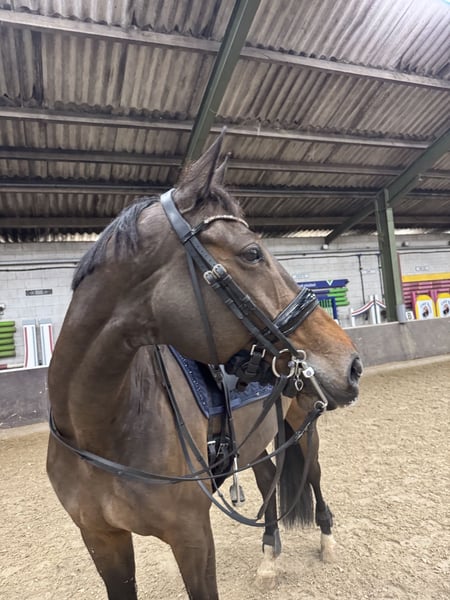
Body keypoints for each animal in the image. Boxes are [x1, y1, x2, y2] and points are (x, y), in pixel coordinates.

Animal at [47, 131, 362, 600]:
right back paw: (269, 556)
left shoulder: (192, 537)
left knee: (314, 474)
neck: (98, 430)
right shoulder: (102, 540)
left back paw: (326, 539)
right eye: (252, 253)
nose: (352, 364)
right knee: (268, 479)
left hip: (304, 426)